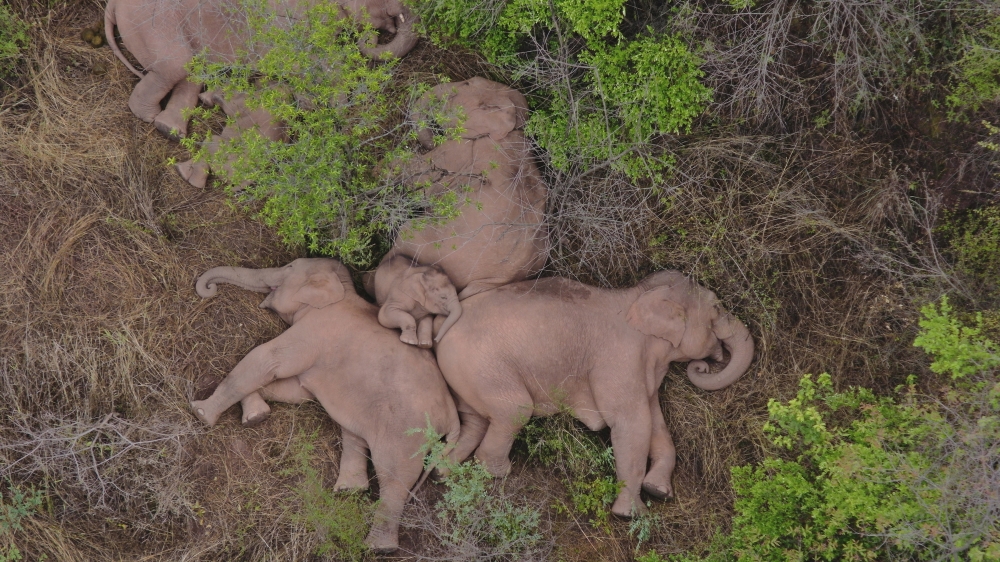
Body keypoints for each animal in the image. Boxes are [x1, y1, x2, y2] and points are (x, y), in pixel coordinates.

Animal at [105, 0, 418, 140]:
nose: (373, 36)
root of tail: (112, 4)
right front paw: (330, 108)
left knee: (192, 72)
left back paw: (170, 131)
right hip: (156, 24)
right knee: (177, 65)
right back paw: (151, 118)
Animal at [189, 258, 460, 552]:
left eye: (288, 268)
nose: (210, 289)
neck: (341, 289)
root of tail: (453, 417)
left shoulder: (315, 329)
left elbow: (267, 359)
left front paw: (201, 412)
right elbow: (296, 391)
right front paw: (256, 417)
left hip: (408, 432)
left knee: (395, 475)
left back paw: (378, 546)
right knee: (354, 432)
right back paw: (349, 491)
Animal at [431, 270, 754, 517]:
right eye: (716, 309)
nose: (703, 365)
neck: (637, 296)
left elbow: (655, 423)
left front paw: (658, 491)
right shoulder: (619, 359)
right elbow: (632, 423)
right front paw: (630, 515)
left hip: (466, 375)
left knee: (475, 420)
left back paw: (441, 472)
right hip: (481, 364)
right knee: (515, 410)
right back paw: (498, 471)